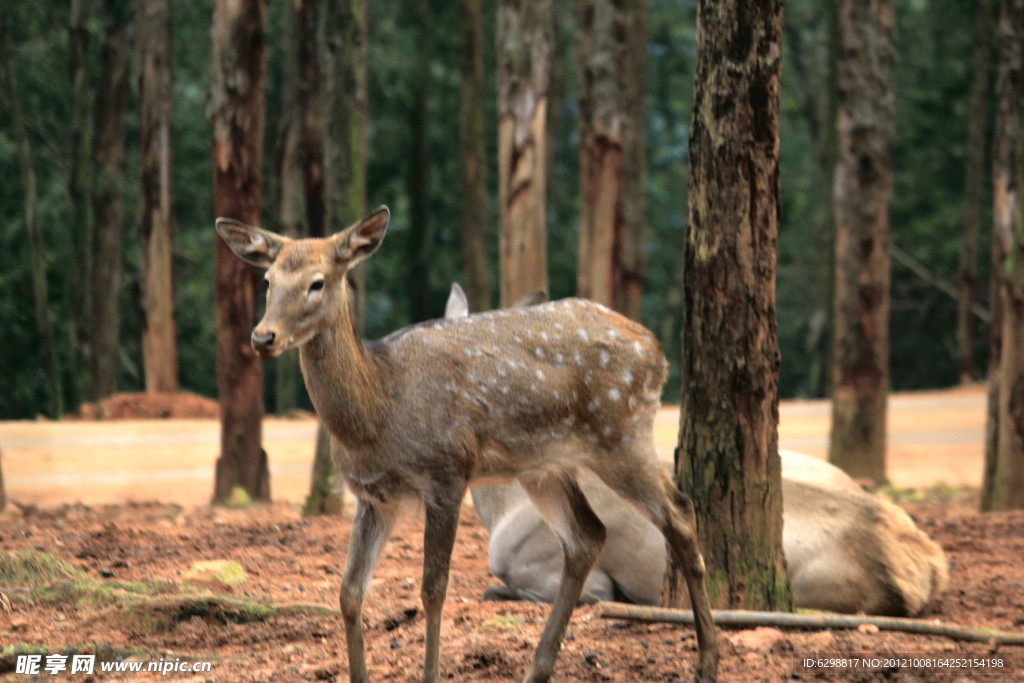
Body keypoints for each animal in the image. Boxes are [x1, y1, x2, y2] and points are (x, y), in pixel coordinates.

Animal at [216, 207, 719, 682]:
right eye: (268, 280)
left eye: (317, 283)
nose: (263, 337)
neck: (376, 412)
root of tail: (658, 350)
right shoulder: (373, 497)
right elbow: (350, 593)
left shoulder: (446, 472)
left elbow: (433, 590)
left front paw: (431, 674)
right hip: (546, 466)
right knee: (587, 535)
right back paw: (536, 670)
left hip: (621, 433)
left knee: (680, 512)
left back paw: (707, 662)